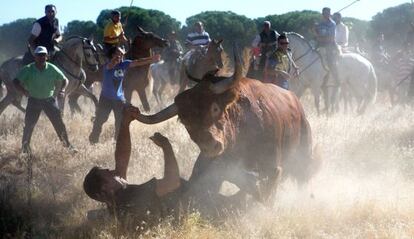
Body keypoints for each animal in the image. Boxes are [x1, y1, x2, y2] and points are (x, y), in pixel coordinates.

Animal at [134, 50, 318, 202]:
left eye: (215, 108)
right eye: (183, 120)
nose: (210, 146)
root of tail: (296, 102)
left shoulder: (272, 164)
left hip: (304, 154)